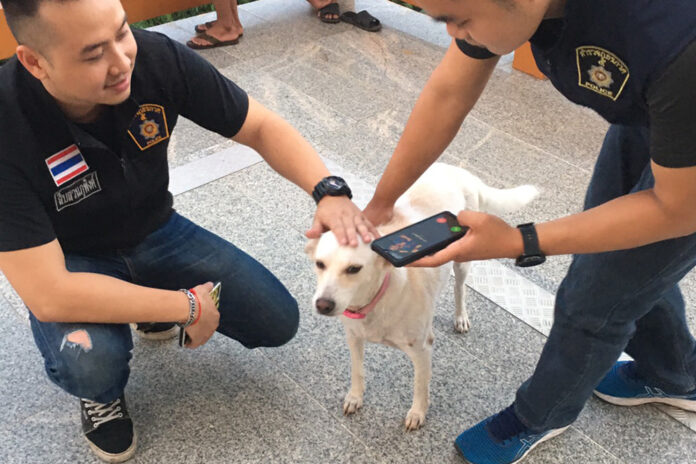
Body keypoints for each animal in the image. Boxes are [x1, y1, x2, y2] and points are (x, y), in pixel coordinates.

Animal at [304, 164, 540, 432]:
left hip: (463, 259)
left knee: (460, 289)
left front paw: (417, 413)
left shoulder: (422, 349)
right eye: (319, 264)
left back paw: (460, 317)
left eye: (354, 269)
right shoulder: (354, 338)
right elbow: (357, 371)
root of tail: (460, 172)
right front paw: (355, 397)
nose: (323, 305)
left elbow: (420, 386)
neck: (376, 299)